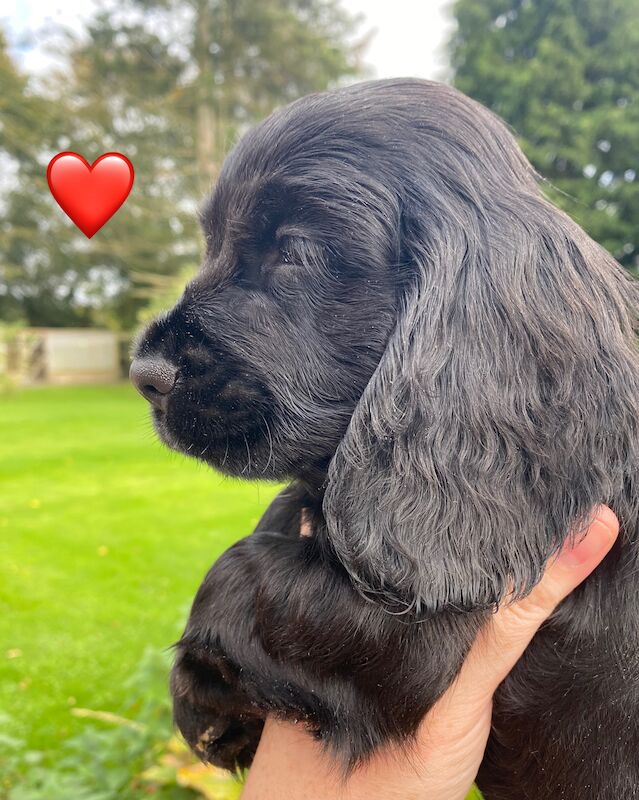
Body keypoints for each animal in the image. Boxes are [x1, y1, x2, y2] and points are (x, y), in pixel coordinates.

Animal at [130, 79, 639, 800]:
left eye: (295, 252)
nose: (145, 375)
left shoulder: (429, 626)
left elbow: (244, 569)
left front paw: (198, 698)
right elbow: (282, 517)